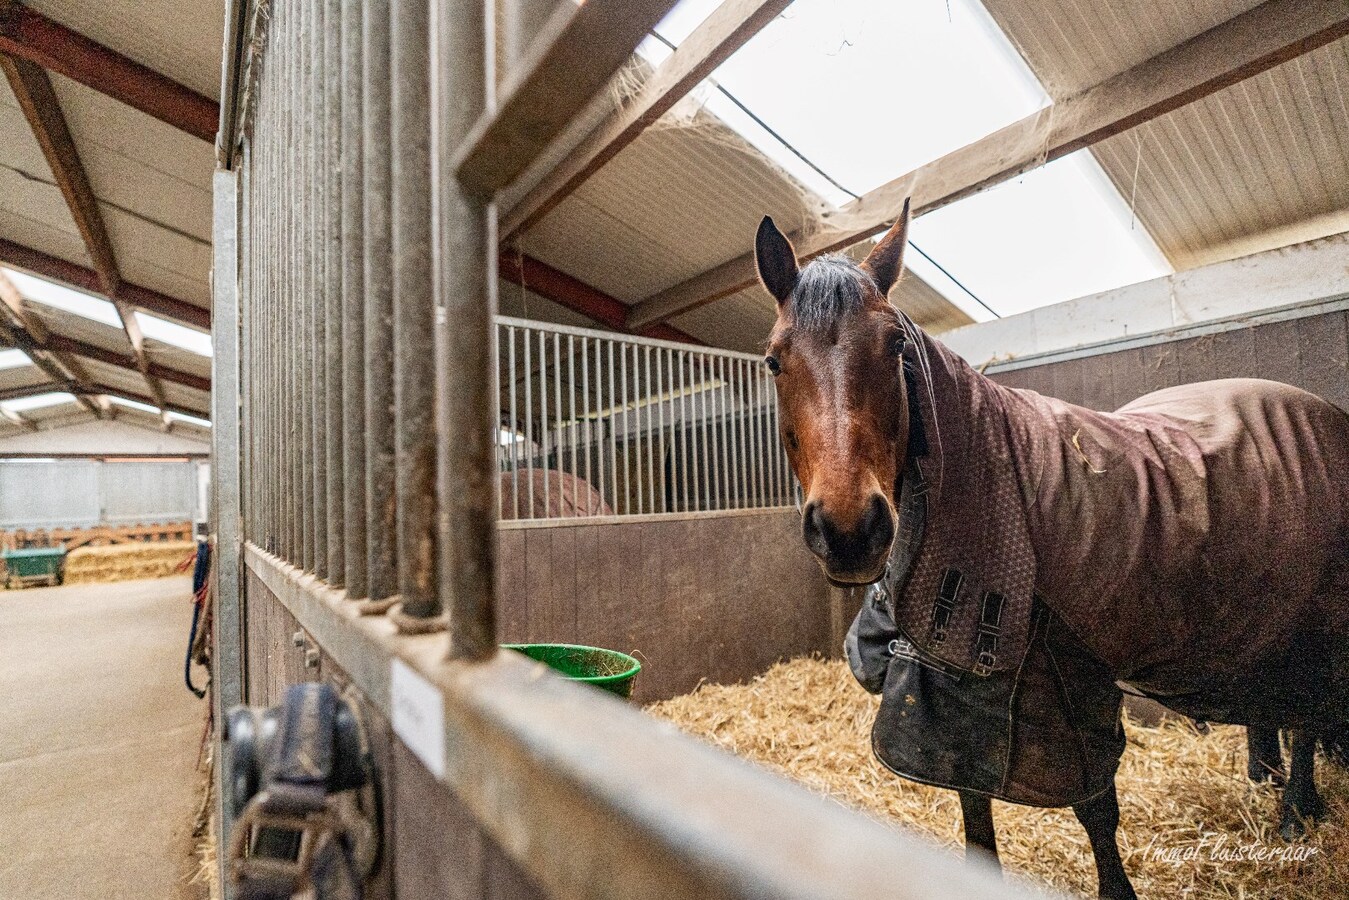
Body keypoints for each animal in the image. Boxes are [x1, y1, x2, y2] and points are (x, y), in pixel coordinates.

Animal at [755, 203, 1349, 900]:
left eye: (896, 345)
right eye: (773, 361)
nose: (850, 529)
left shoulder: (1071, 688)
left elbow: (1096, 810)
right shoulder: (957, 703)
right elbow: (975, 814)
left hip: (1311, 627)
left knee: (1304, 714)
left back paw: (1295, 812)